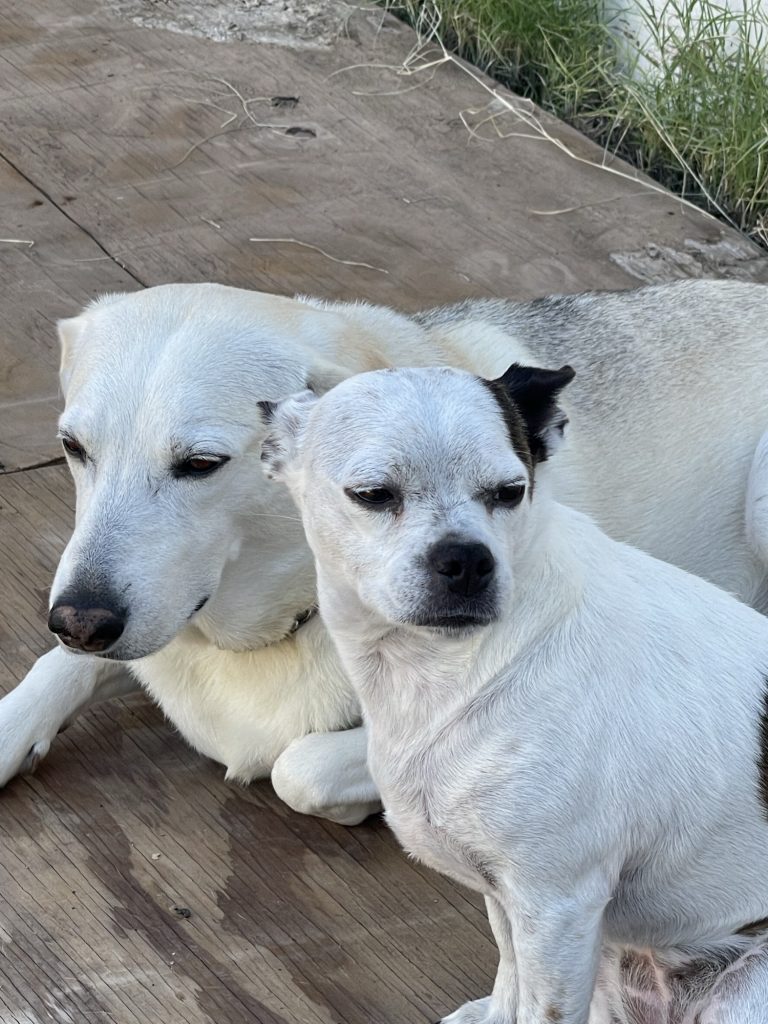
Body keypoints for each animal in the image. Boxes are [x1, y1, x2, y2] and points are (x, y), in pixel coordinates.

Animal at [263, 363, 768, 1023]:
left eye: (510, 491)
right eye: (373, 495)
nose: (466, 558)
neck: (441, 669)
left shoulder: (556, 906)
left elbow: (538, 1003)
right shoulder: (509, 893)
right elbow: (509, 966)